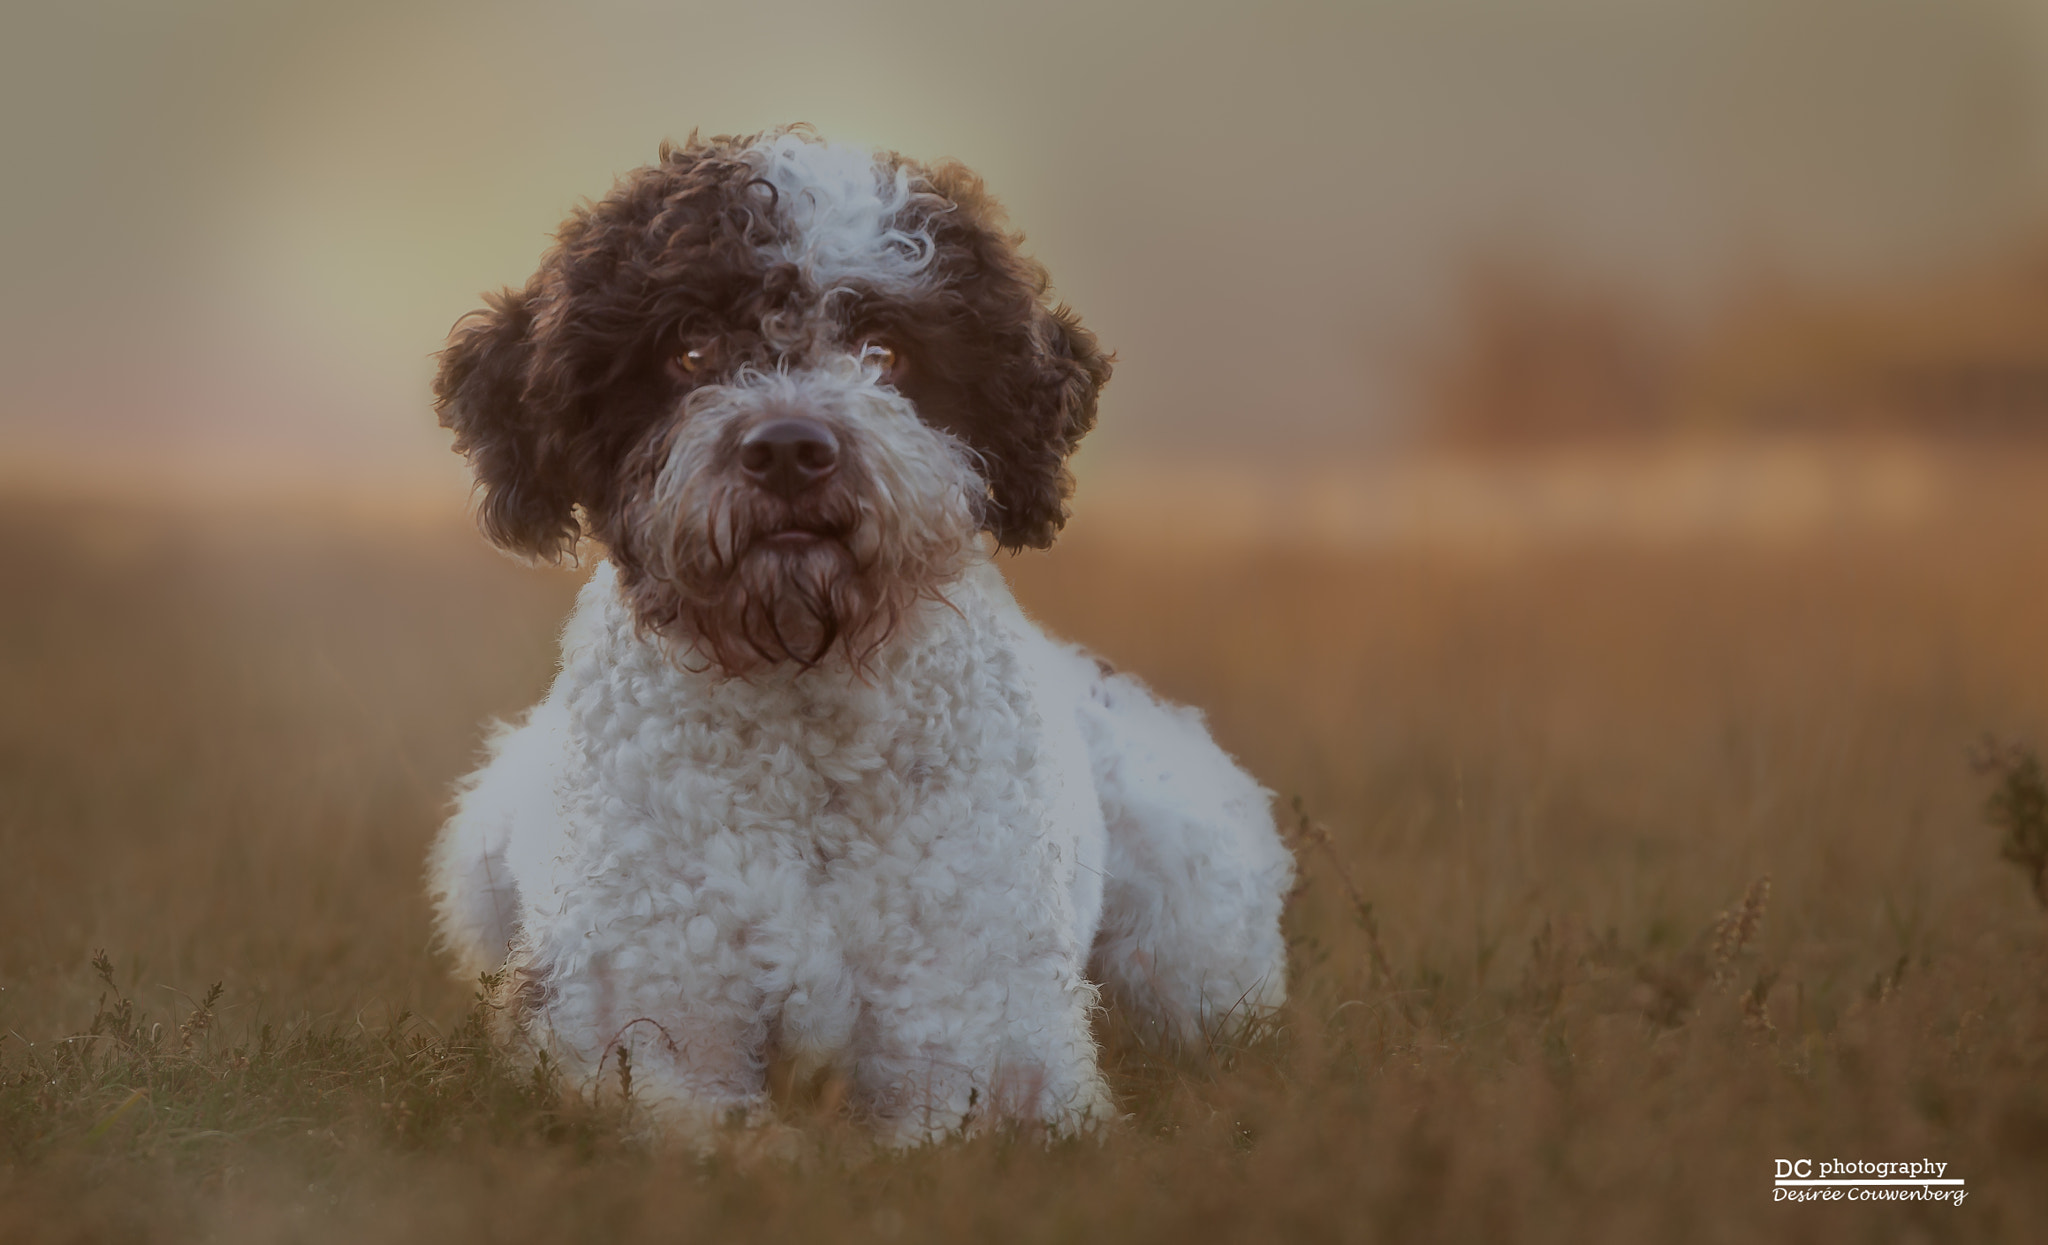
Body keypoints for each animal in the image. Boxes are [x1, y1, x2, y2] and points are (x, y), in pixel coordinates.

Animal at [428, 129, 1294, 1146]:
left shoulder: (978, 1052)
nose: (790, 448)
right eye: (690, 347)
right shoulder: (641, 1037)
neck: (806, 709)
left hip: (1191, 914)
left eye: (886, 351)